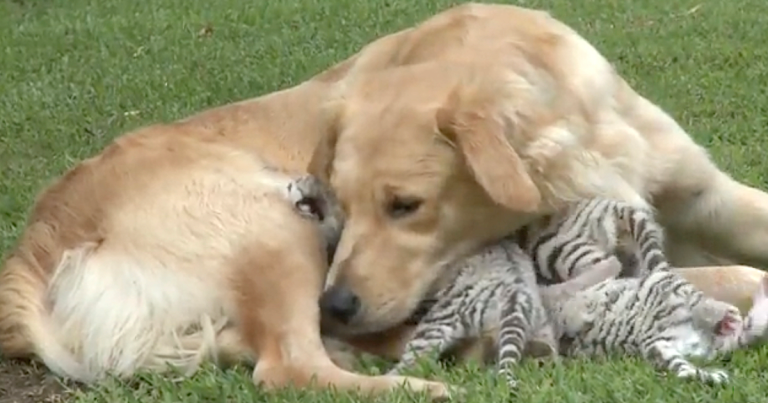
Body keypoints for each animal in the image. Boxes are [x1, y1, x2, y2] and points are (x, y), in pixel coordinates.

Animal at [0, 1, 764, 400]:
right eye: (336, 201)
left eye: (405, 205)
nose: (336, 301)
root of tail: (39, 244)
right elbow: (714, 274)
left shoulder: (705, 191)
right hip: (272, 226)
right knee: (286, 365)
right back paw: (429, 385)